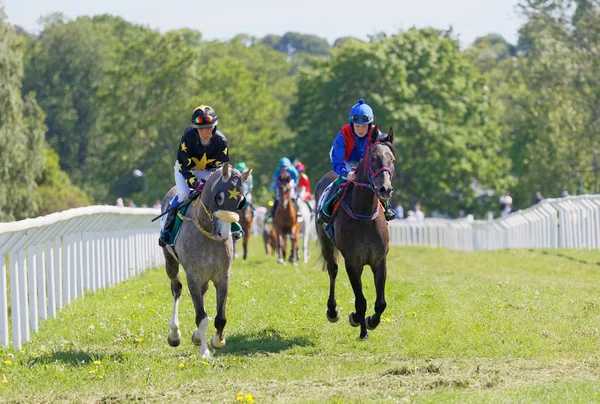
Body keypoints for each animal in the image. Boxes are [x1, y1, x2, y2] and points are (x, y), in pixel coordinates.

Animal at [161, 163, 252, 358]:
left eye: (241, 201)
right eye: (218, 197)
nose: (224, 234)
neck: (208, 234)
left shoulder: (222, 276)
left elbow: (220, 318)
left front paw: (218, 340)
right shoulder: (193, 276)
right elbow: (201, 317)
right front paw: (205, 351)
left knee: (203, 291)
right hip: (169, 260)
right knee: (176, 288)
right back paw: (174, 333)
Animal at [312, 128, 396, 340]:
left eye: (392, 159)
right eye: (373, 158)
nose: (385, 188)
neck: (364, 214)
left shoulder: (379, 260)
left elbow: (381, 302)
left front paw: (371, 321)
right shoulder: (353, 262)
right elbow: (360, 300)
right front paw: (360, 323)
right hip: (326, 244)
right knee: (332, 271)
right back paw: (332, 311)